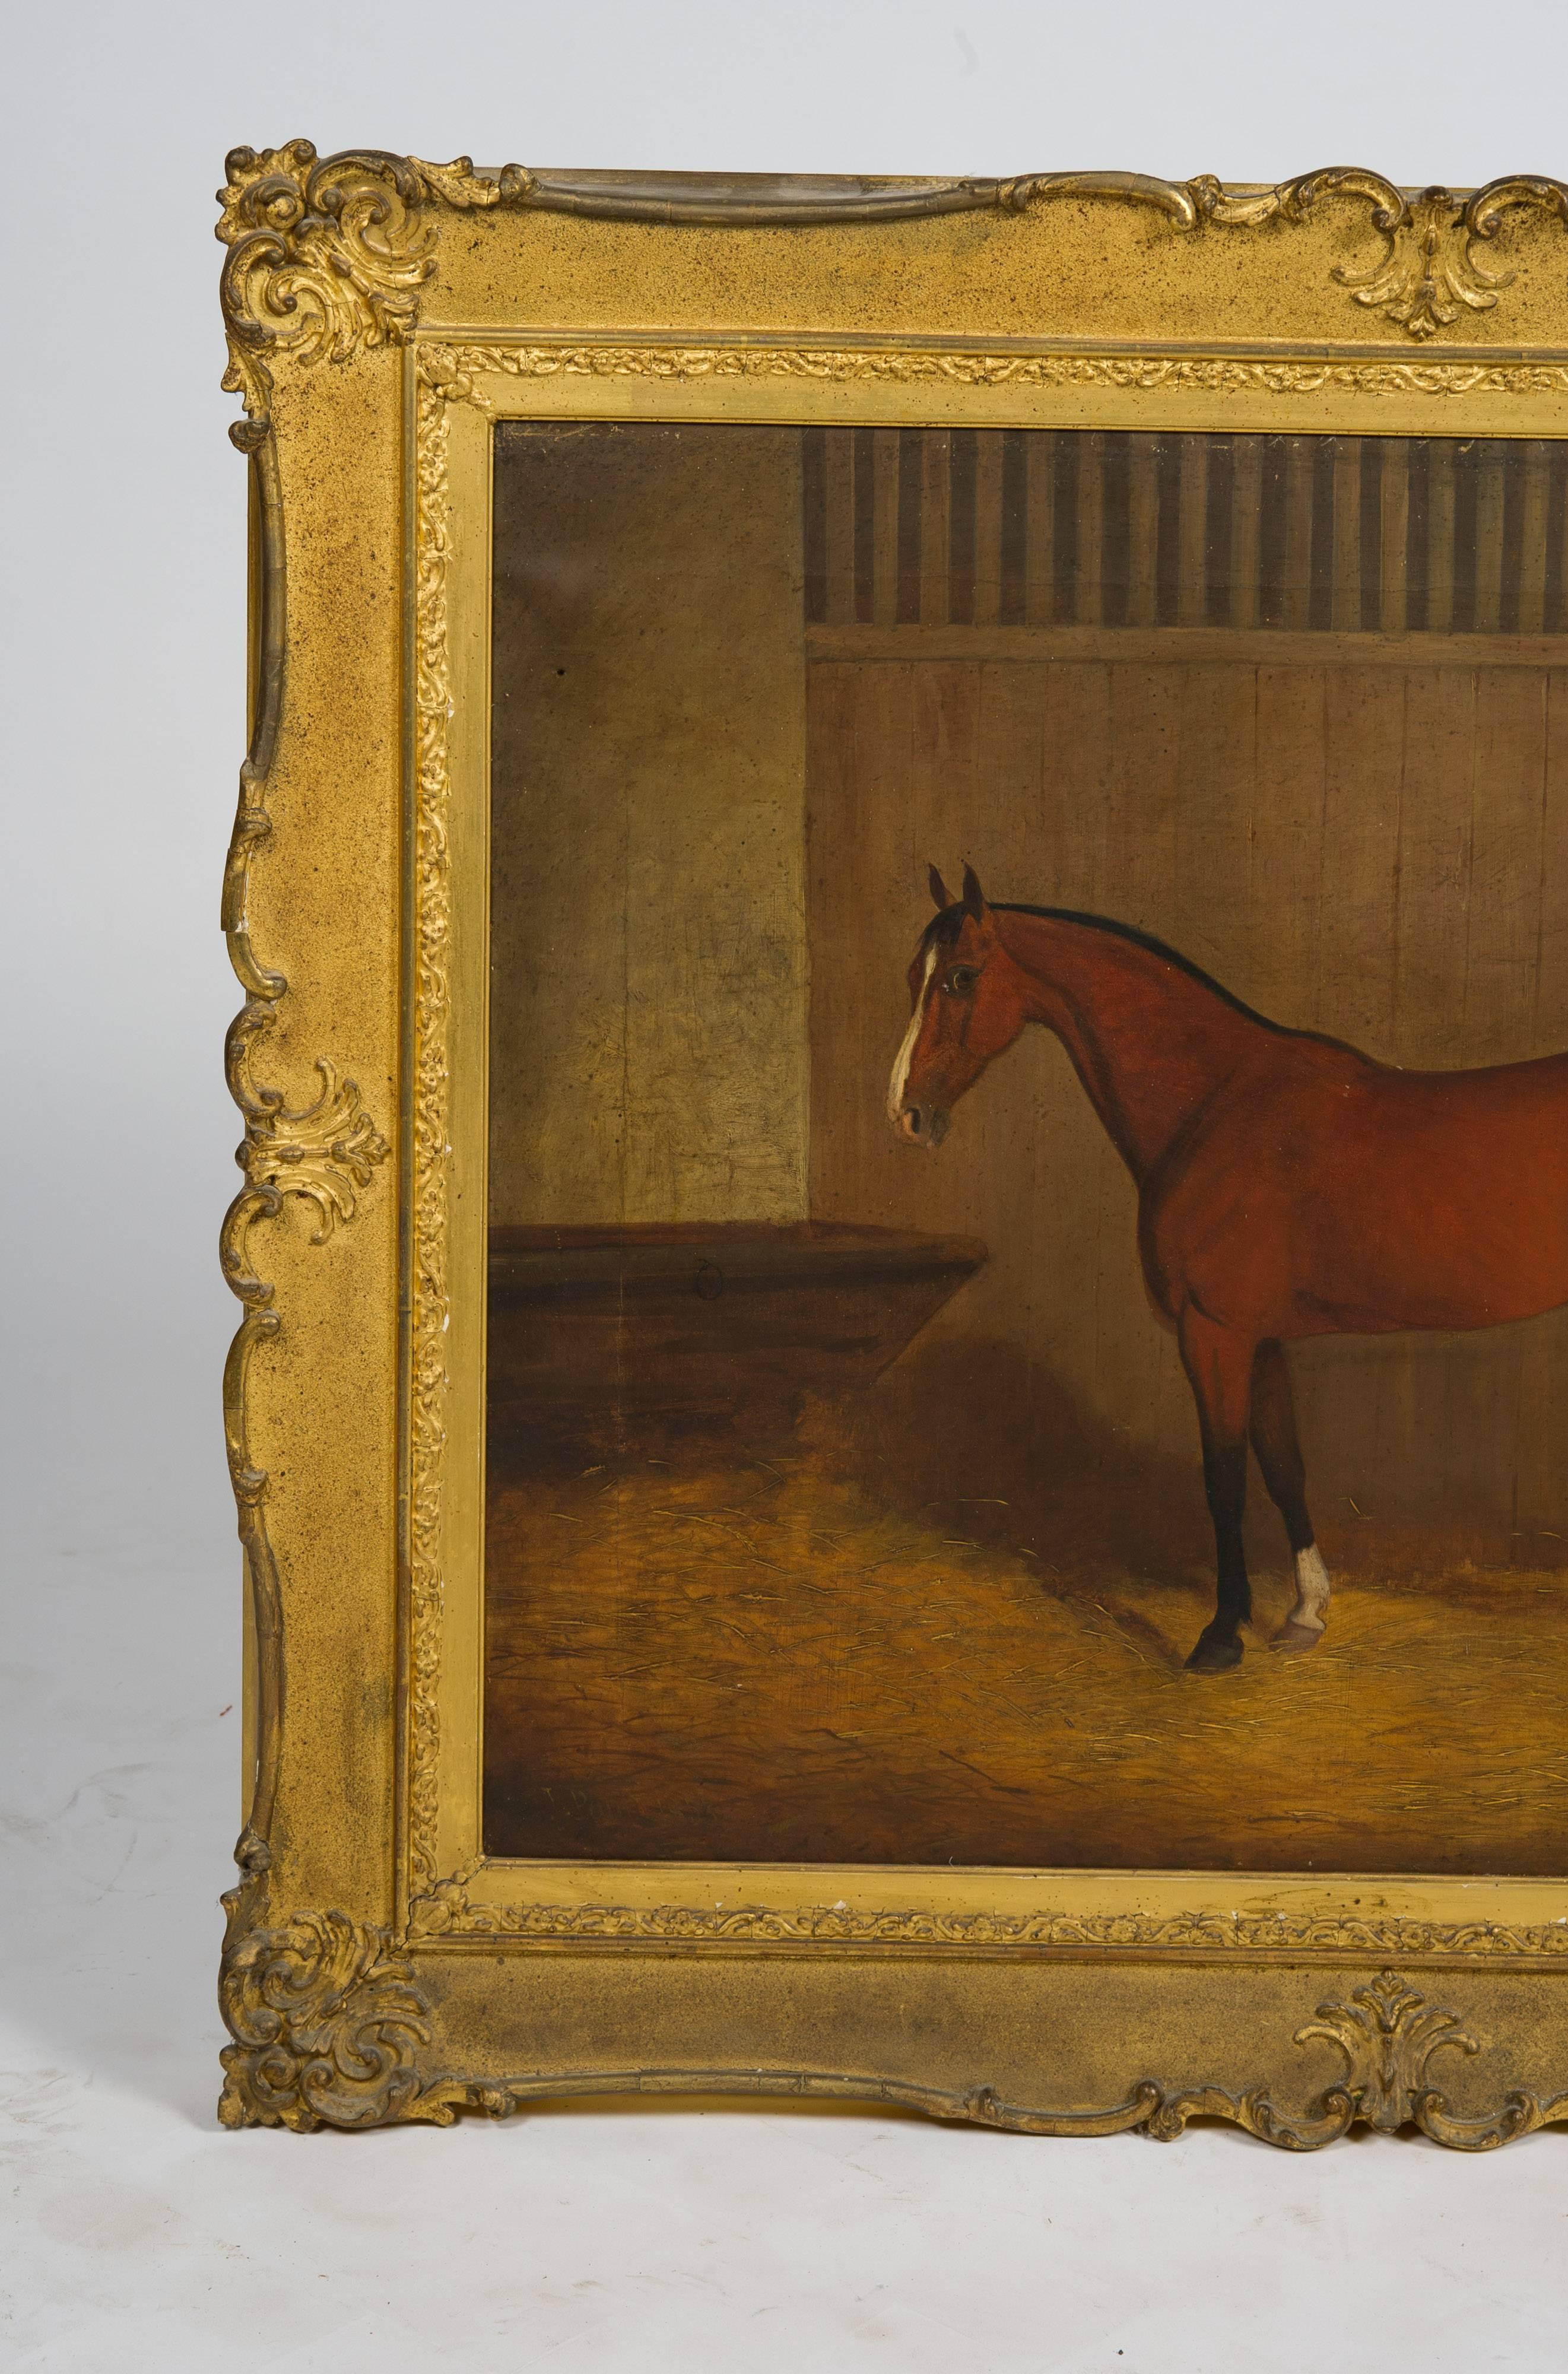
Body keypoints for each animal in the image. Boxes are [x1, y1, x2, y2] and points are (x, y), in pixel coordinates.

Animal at [888, 869, 1568, 1671]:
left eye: (961, 978)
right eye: (914, 977)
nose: (905, 1114)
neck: (1216, 1101)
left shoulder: (1213, 1333)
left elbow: (1224, 1480)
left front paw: (1219, 1634)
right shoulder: (1261, 1338)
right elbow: (1281, 1467)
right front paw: (1304, 1615)